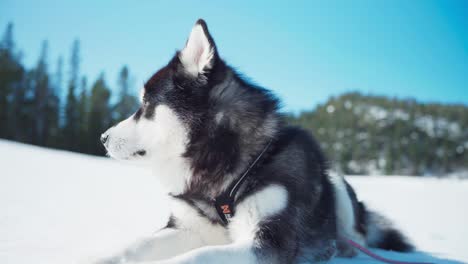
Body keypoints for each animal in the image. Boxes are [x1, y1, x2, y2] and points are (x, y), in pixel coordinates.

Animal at [99, 19, 414, 264]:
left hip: (336, 184)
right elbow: (134, 246)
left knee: (357, 237)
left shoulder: (267, 243)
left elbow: (196, 257)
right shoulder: (188, 227)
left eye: (146, 104)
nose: (103, 138)